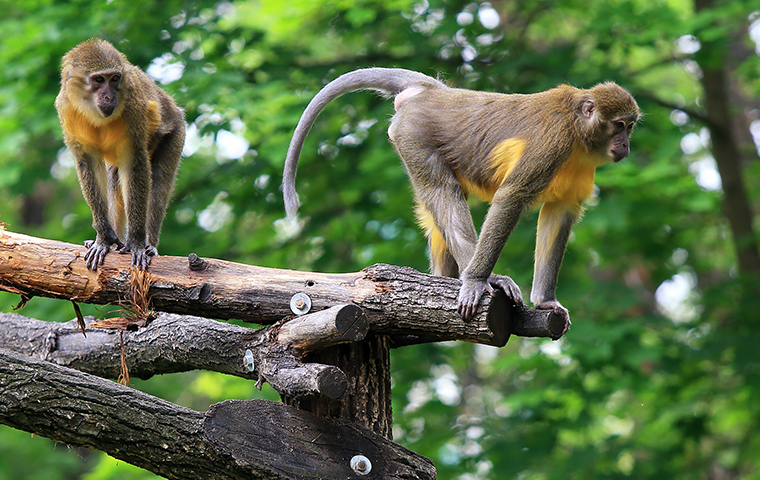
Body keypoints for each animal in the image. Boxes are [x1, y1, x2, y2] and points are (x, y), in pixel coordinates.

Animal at [55, 38, 184, 270]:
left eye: (114, 79)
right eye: (99, 79)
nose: (109, 96)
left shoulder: (133, 105)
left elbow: (135, 163)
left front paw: (136, 242)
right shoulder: (65, 109)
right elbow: (87, 164)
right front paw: (104, 238)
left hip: (176, 131)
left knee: (159, 181)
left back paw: (149, 243)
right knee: (114, 179)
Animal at [282, 68, 640, 330]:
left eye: (630, 127)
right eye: (619, 126)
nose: (625, 145)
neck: (579, 131)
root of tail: (433, 92)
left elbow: (559, 212)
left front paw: (545, 301)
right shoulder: (554, 143)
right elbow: (510, 197)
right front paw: (480, 279)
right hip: (413, 135)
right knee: (442, 192)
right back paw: (479, 277)